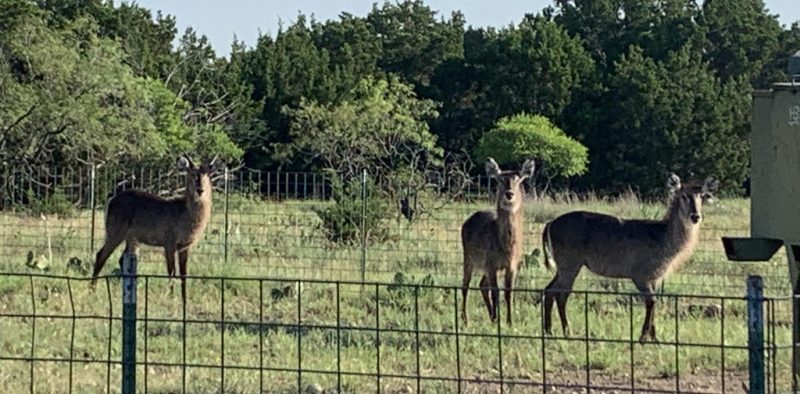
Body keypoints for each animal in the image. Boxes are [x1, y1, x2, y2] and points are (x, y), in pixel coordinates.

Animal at [90, 155, 222, 304]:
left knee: (123, 259)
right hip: (115, 234)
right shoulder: (169, 244)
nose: (200, 190)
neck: (186, 214)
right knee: (101, 255)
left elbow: (183, 274)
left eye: (208, 175)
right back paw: (92, 291)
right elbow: (171, 272)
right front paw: (171, 298)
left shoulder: (184, 247)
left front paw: (184, 301)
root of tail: (111, 200)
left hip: (132, 239)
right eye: (193, 174)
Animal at [460, 157, 536, 326]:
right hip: (469, 259)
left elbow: (508, 293)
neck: (506, 246)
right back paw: (465, 319)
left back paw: (492, 317)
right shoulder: (491, 264)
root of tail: (467, 221)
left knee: (482, 285)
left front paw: (509, 321)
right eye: (500, 179)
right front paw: (500, 321)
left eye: (518, 179)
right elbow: (496, 292)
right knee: (465, 285)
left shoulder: (511, 265)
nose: (509, 194)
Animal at [544, 172, 720, 342]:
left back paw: (549, 330)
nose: (695, 216)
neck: (663, 237)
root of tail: (550, 224)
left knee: (549, 289)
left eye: (702, 195)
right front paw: (643, 337)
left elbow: (655, 302)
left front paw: (655, 338)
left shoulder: (655, 278)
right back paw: (567, 332)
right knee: (562, 294)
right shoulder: (640, 276)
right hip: (570, 265)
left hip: (563, 267)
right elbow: (651, 302)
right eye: (683, 195)